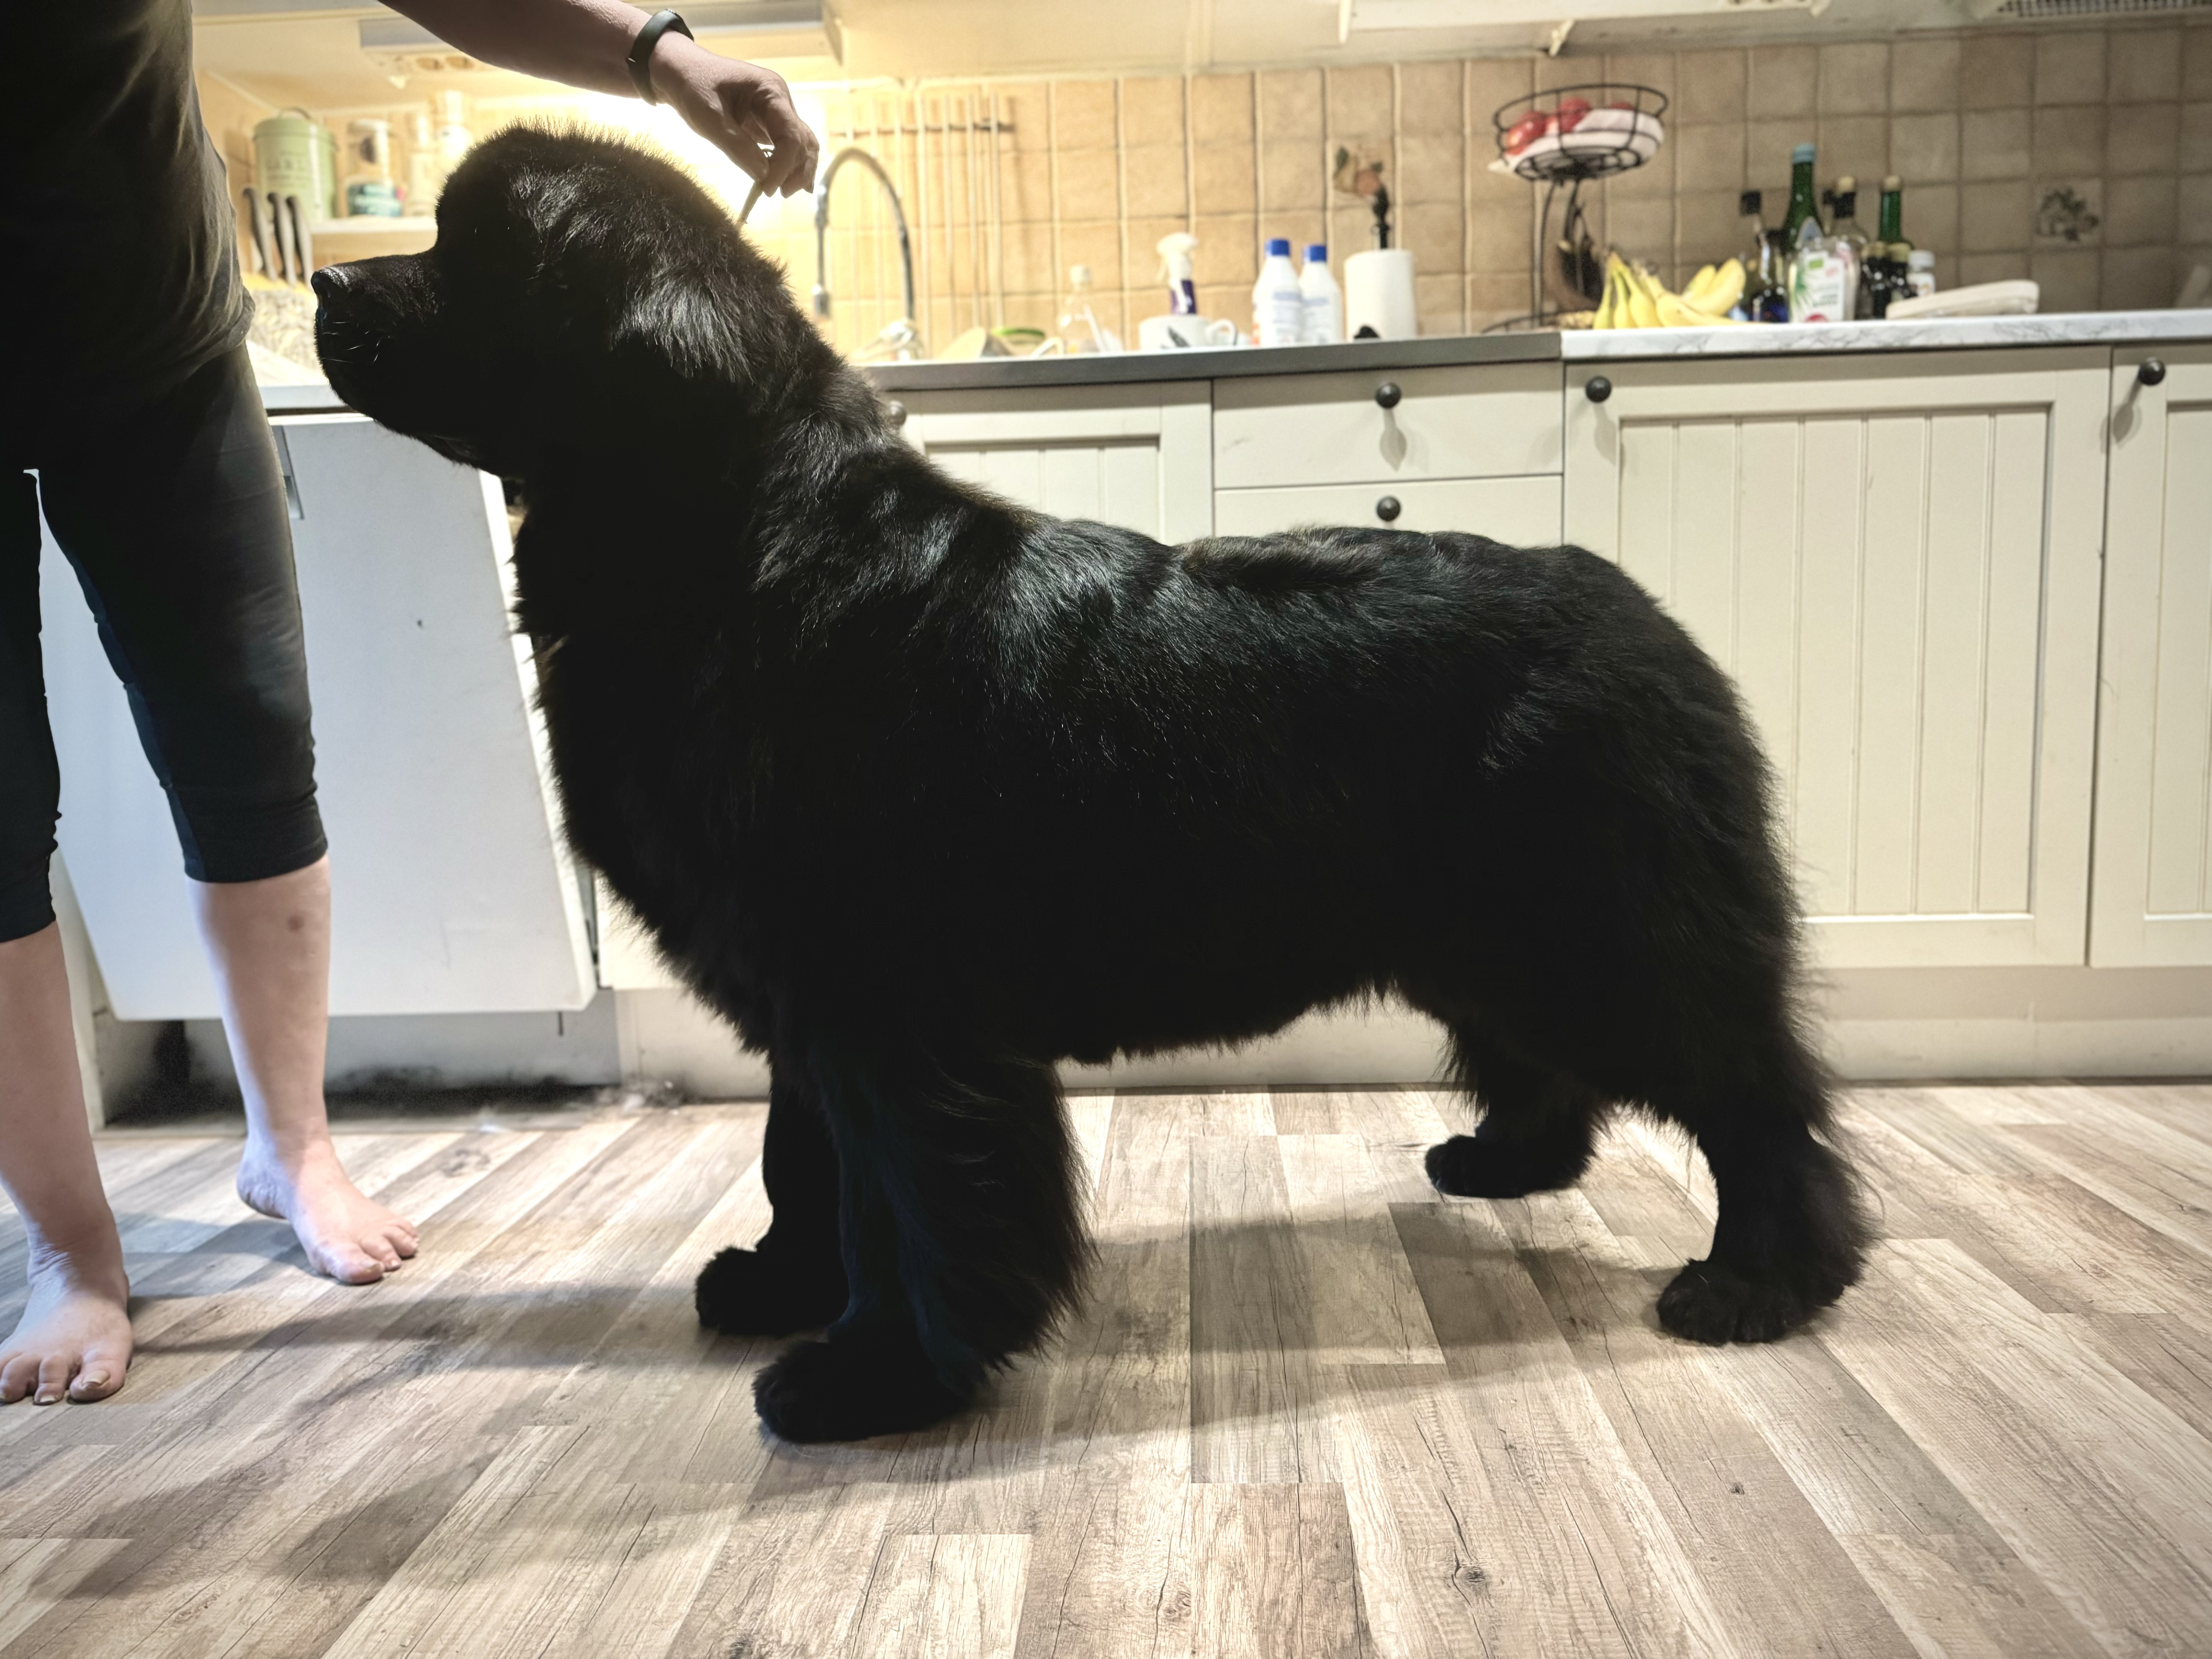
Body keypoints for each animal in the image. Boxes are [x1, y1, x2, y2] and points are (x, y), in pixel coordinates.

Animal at [315, 127, 1867, 1443]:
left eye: (471, 249)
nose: (323, 280)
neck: (732, 557)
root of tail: (1639, 610)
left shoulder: (893, 1010)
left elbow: (910, 1202)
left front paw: (878, 1373)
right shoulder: (805, 1003)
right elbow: (803, 1162)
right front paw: (782, 1285)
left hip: (1604, 929)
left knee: (1757, 1098)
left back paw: (1764, 1281)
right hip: (1486, 932)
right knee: (1555, 1063)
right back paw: (1507, 1165)